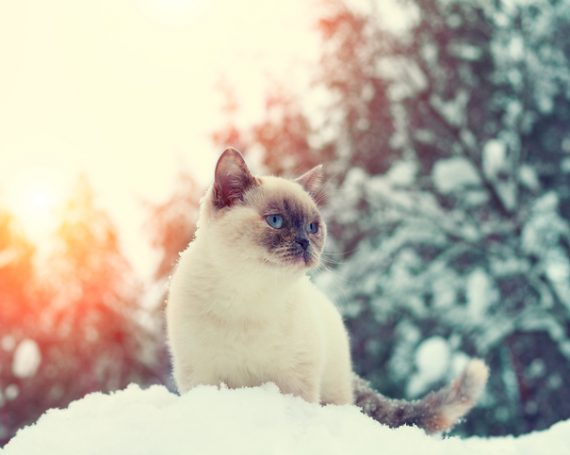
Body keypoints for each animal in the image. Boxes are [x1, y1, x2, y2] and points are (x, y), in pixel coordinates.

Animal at [165, 148, 488, 432]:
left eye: (312, 227)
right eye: (275, 221)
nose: (305, 243)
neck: (249, 294)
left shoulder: (295, 380)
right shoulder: (202, 375)